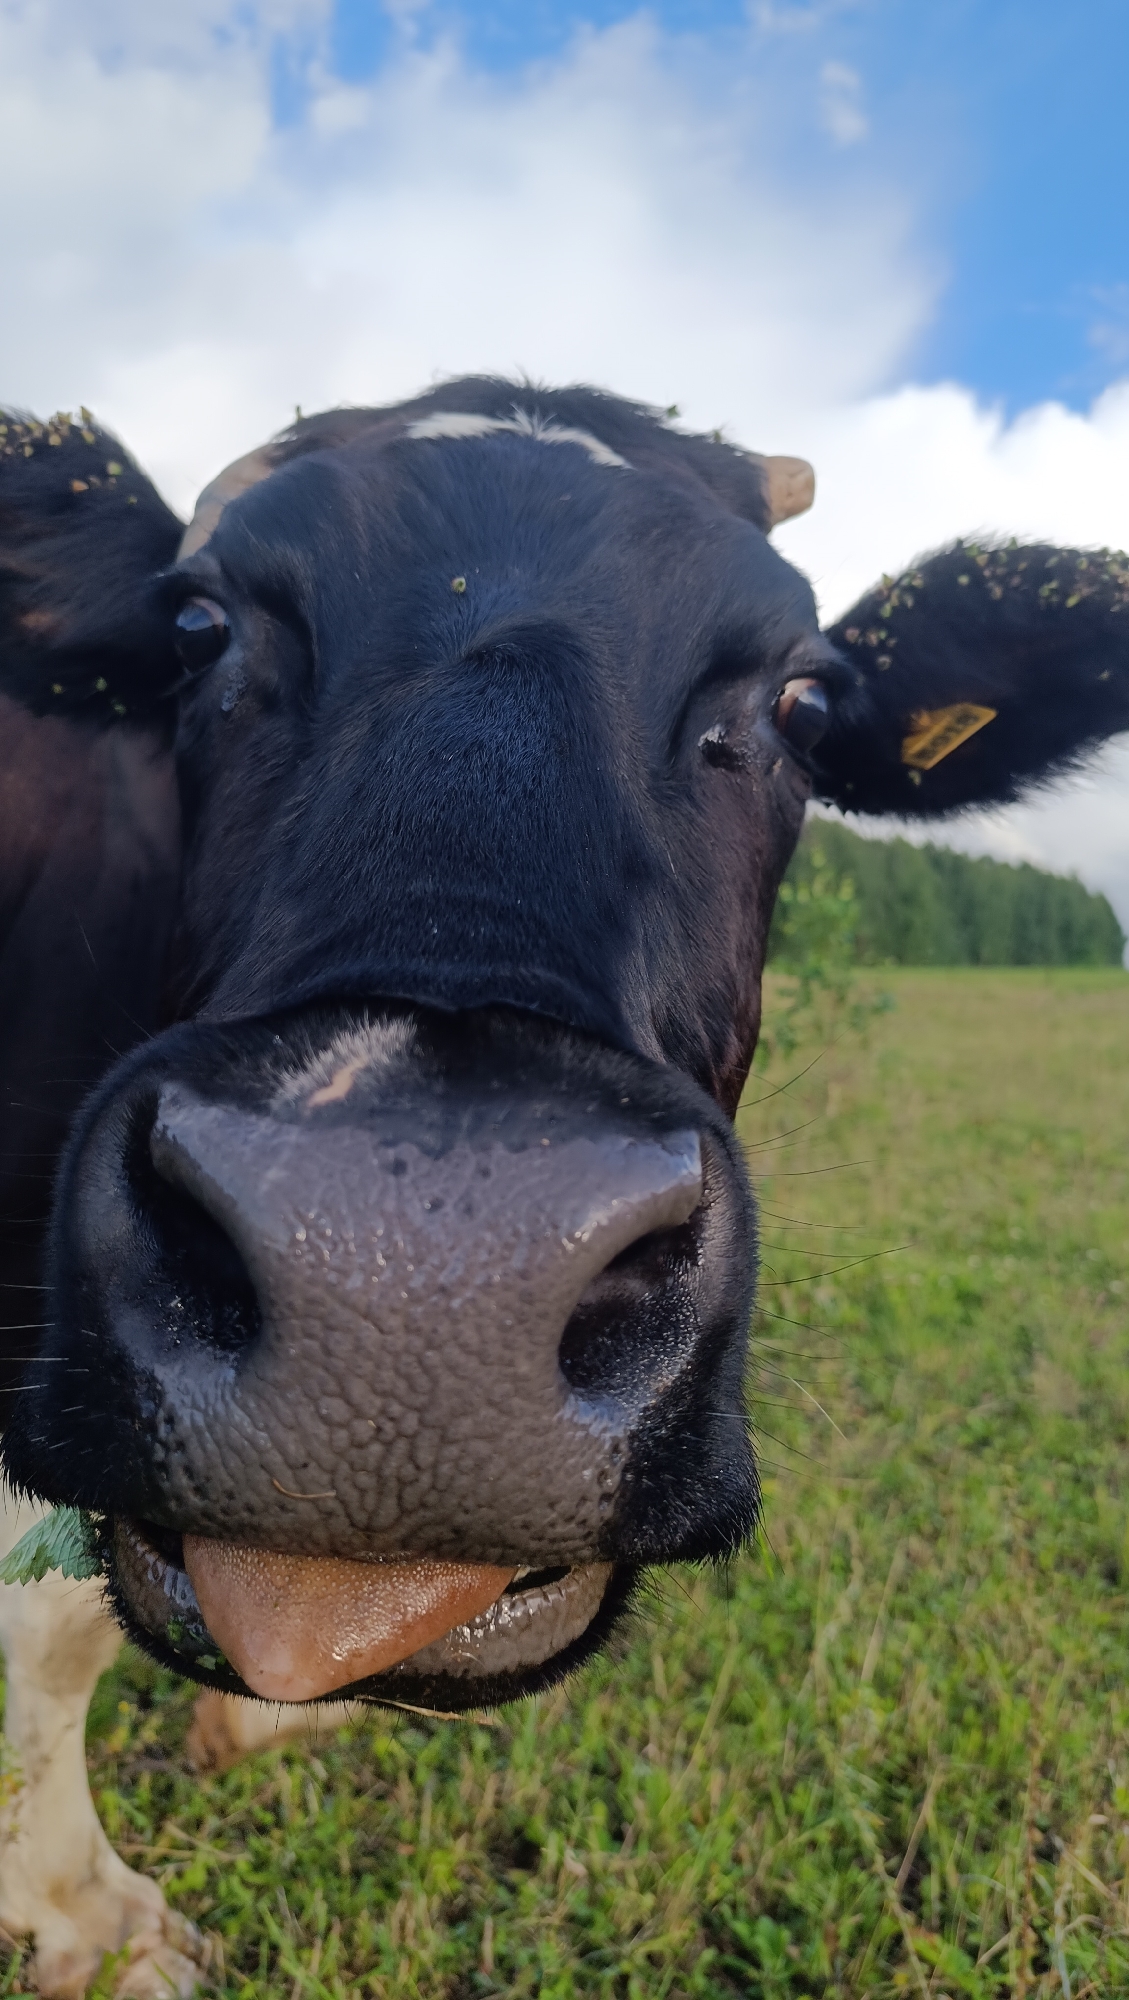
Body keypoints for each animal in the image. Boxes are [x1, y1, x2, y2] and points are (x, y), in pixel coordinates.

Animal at [1, 380, 1127, 1997]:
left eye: (802, 703)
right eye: (198, 628)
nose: (414, 1274)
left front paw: (272, 1718)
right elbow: (49, 1632)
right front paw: (86, 1912)